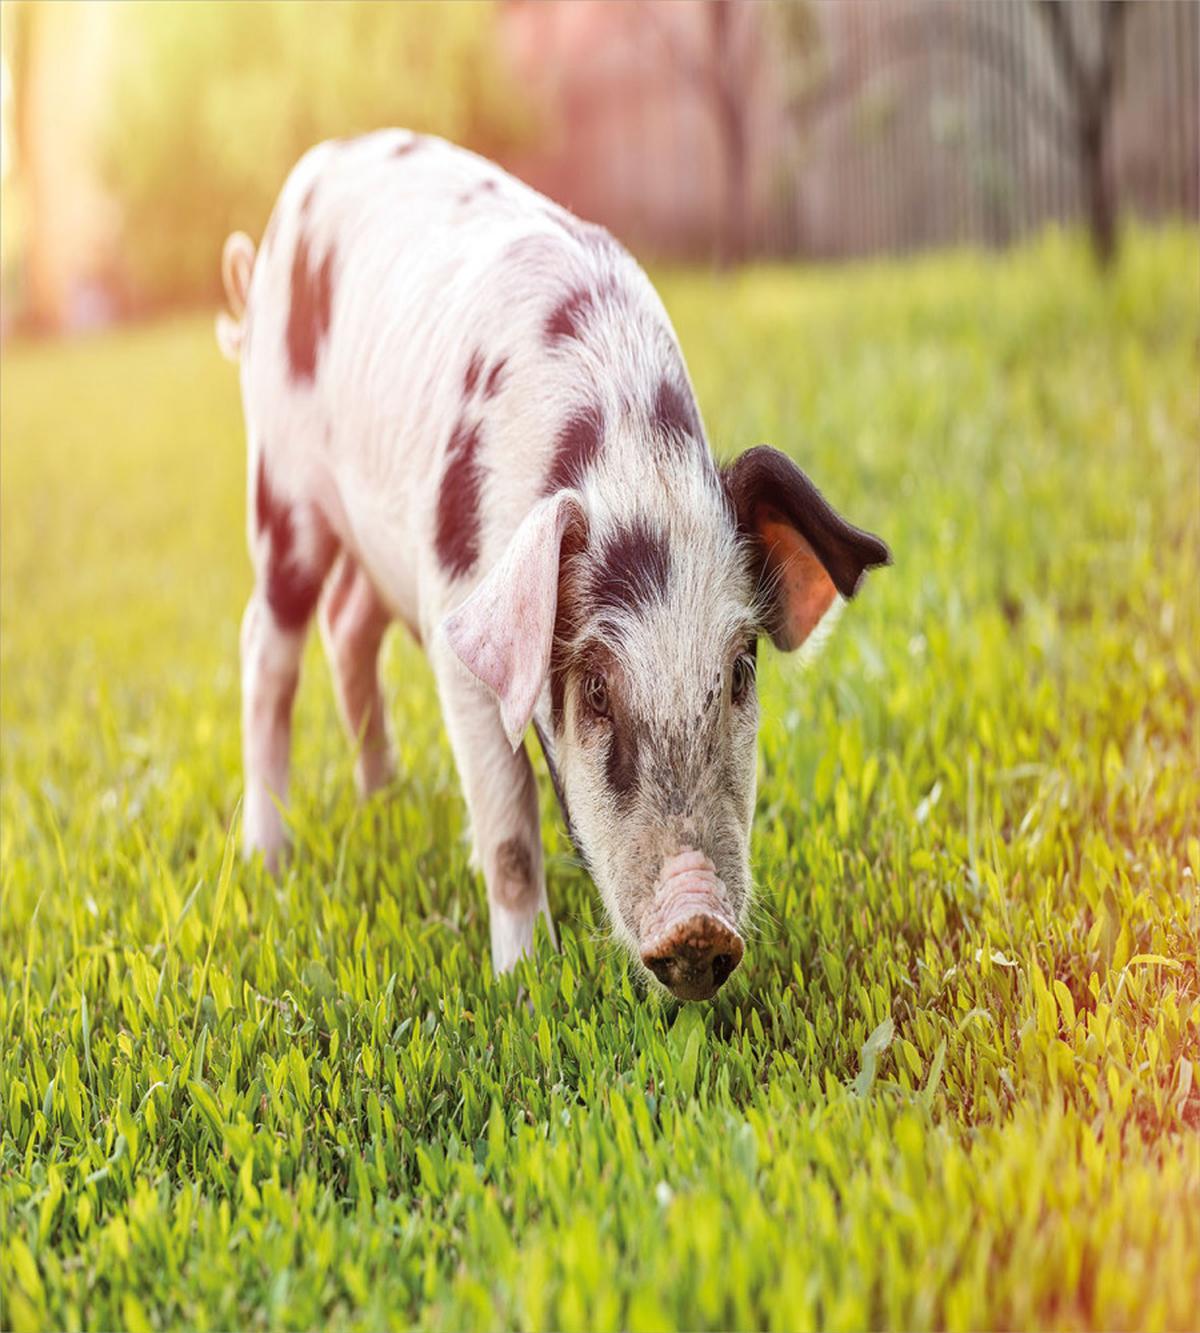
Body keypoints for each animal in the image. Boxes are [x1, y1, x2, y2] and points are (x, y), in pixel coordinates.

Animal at [217, 130, 889, 1001]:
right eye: (596, 687)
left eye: (742, 671)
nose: (698, 921)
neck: (631, 456)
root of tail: (319, 161)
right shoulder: (457, 627)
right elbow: (507, 826)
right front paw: (524, 983)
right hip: (282, 484)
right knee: (268, 646)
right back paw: (269, 858)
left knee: (349, 625)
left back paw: (384, 797)